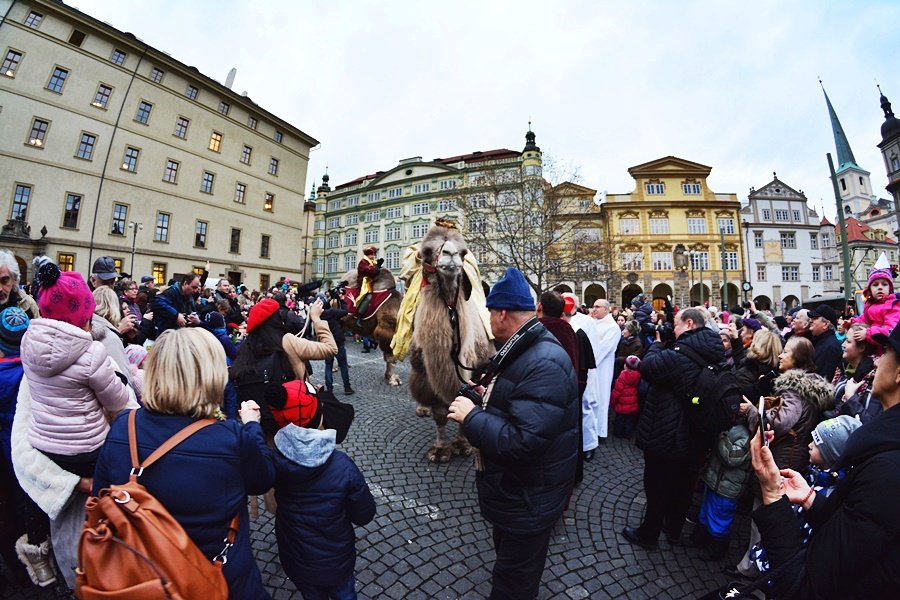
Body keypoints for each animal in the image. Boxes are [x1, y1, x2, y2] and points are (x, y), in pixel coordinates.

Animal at [400, 223, 492, 462]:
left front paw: (462, 445)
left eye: (464, 252)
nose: (451, 255)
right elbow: (440, 414)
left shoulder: (475, 371)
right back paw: (422, 409)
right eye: (426, 251)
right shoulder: (425, 374)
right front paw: (441, 450)